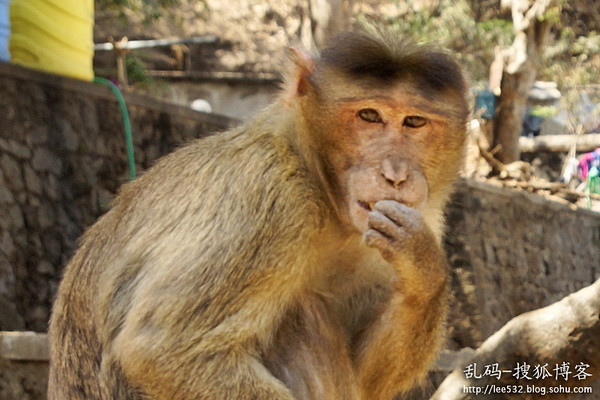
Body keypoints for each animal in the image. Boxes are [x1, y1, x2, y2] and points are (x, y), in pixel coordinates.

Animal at [48, 28, 468, 400]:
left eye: (414, 122)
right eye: (369, 116)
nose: (395, 173)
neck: (321, 187)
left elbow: (368, 378)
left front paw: (423, 267)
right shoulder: (272, 194)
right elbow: (162, 349)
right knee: (302, 313)